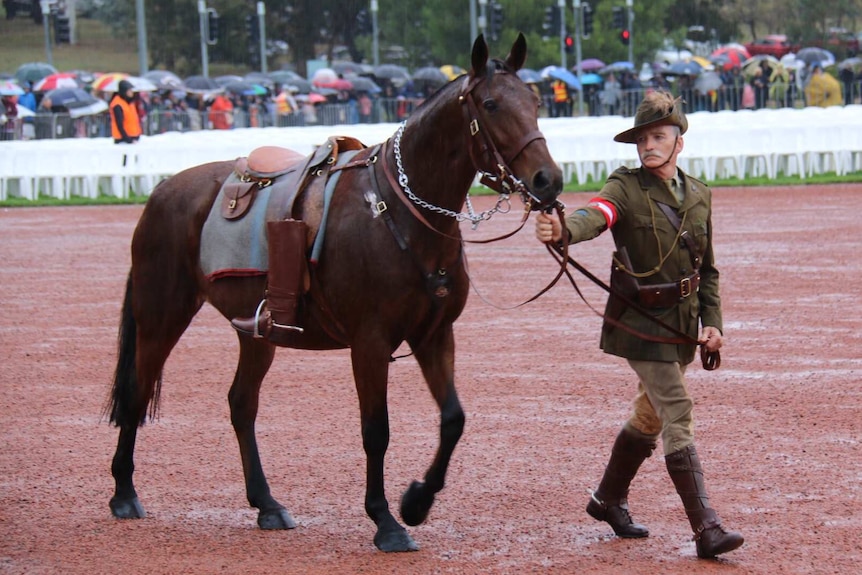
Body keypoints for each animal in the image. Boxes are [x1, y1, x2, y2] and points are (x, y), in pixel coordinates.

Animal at [108, 35, 564, 552]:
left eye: (534, 102)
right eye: (490, 105)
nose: (548, 180)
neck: (397, 212)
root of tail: (162, 192)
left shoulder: (434, 335)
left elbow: (453, 419)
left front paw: (417, 501)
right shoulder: (369, 343)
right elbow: (376, 431)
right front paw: (385, 520)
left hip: (257, 333)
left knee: (241, 404)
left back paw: (266, 503)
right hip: (161, 315)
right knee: (137, 391)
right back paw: (124, 492)